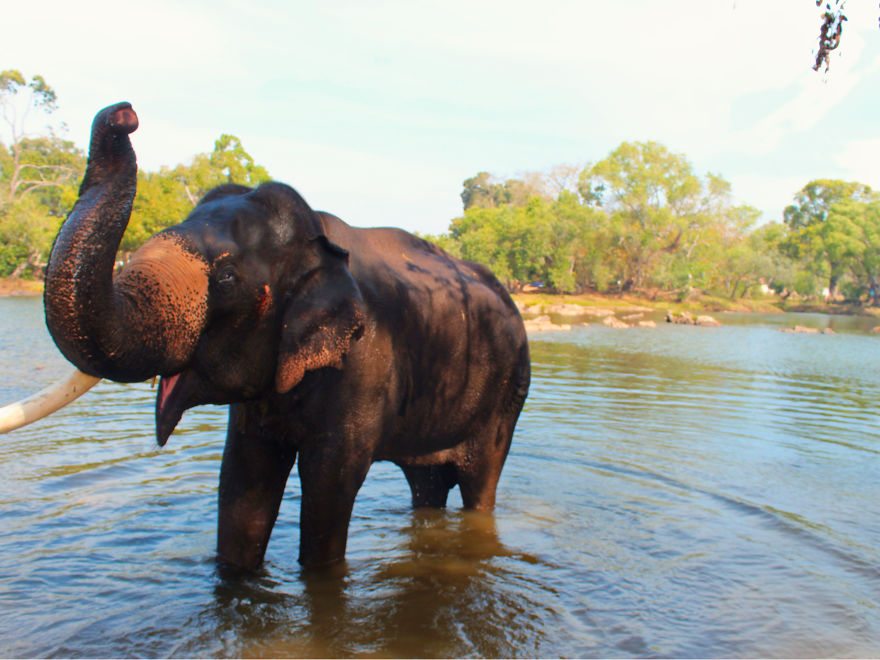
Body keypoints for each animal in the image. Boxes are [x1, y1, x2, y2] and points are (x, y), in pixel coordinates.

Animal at [20, 102, 530, 570]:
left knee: (480, 481)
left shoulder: (363, 368)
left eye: (226, 279)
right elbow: (243, 478)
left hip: (507, 394)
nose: (125, 113)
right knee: (426, 484)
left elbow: (330, 483)